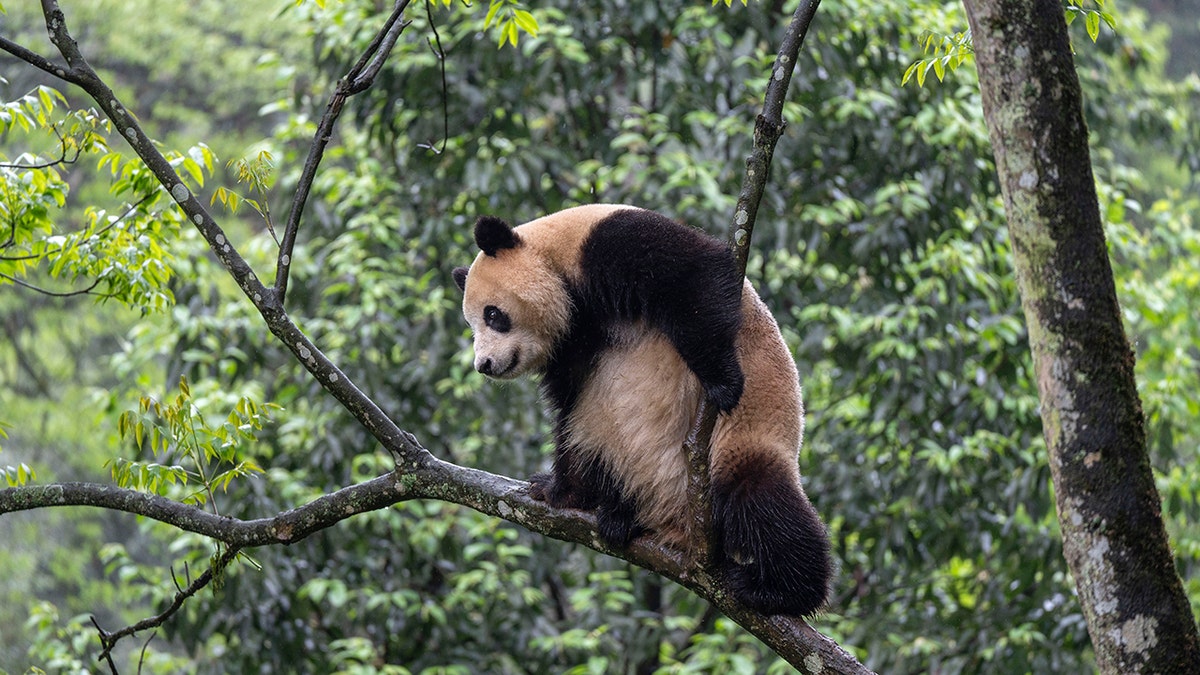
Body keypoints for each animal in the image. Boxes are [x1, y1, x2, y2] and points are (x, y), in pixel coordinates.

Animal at [451, 201, 835, 612]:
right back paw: (616, 513)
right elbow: (568, 411)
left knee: (763, 501)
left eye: (493, 315)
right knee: (593, 443)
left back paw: (779, 590)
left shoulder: (609, 244)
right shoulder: (572, 346)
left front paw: (723, 381)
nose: (484, 365)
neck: (558, 261)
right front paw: (556, 489)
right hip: (613, 446)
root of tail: (681, 528)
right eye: (471, 326)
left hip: (740, 442)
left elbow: (695, 278)